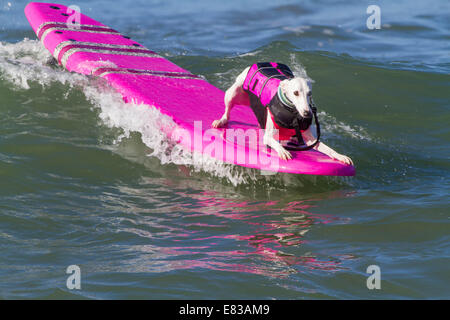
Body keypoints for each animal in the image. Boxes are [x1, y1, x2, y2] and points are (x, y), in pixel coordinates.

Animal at [213, 62, 354, 165]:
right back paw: (221, 121)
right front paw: (283, 151)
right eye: (296, 92)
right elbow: (273, 141)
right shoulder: (268, 136)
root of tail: (260, 62)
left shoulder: (311, 140)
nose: (307, 113)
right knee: (227, 110)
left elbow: (328, 149)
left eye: (309, 94)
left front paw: (340, 156)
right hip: (232, 93)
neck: (292, 112)